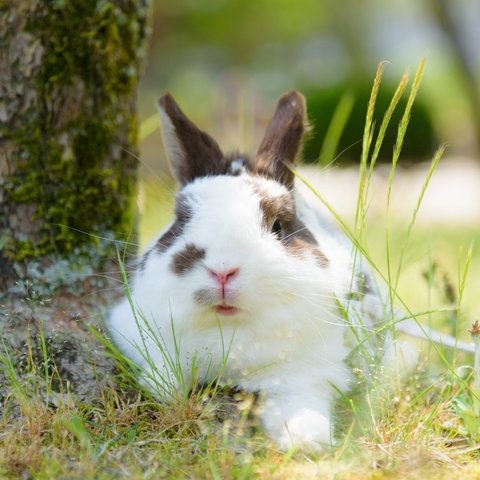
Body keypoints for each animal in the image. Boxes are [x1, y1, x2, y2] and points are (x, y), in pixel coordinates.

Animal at [108, 89, 472, 450]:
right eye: (182, 220)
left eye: (278, 226)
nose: (223, 271)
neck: (231, 331)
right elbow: (164, 368)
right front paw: (161, 386)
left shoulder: (310, 373)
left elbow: (302, 404)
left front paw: (308, 439)